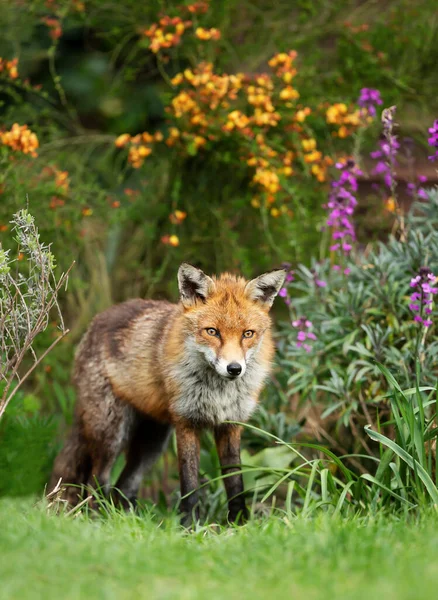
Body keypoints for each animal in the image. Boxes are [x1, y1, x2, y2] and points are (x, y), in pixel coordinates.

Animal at [49, 264, 286, 524]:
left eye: (247, 334)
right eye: (212, 332)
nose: (234, 368)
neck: (218, 393)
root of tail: (97, 321)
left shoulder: (231, 424)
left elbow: (235, 483)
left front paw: (239, 524)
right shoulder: (186, 422)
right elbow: (190, 485)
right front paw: (190, 526)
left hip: (152, 443)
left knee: (124, 486)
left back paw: (129, 522)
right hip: (111, 433)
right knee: (96, 482)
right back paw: (98, 521)